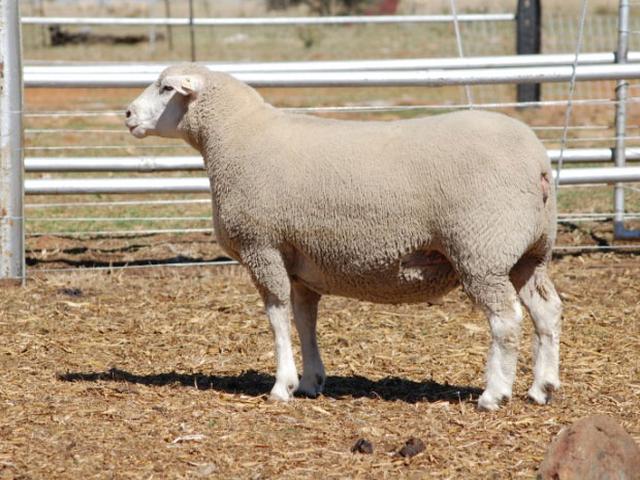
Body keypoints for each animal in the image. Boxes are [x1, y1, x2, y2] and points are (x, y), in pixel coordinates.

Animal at [125, 64, 562, 411]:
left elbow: (277, 317)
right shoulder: (299, 258)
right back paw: (542, 387)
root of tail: (538, 162)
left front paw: (281, 385)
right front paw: (310, 381)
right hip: (530, 253)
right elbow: (304, 318)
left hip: (480, 250)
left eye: (166, 88)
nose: (127, 114)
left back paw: (494, 393)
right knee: (547, 311)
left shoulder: (262, 246)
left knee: (506, 320)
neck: (234, 137)